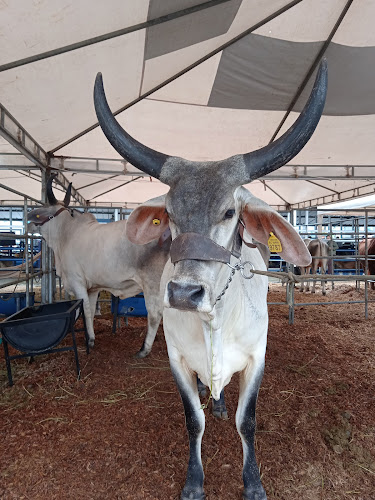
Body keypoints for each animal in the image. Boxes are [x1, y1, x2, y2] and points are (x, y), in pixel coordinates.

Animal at [94, 60, 328, 498]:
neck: (214, 321)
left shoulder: (256, 360)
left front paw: (252, 483)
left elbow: (246, 421)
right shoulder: (177, 361)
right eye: (169, 214)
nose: (185, 293)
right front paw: (194, 481)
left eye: (229, 212)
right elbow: (193, 421)